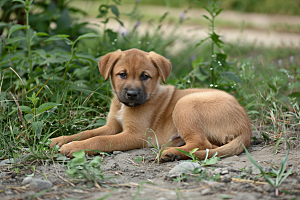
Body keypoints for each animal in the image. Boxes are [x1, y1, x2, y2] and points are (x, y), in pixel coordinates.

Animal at [50, 48, 252, 162]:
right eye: (122, 74)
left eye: (145, 76)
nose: (132, 94)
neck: (124, 107)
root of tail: (246, 127)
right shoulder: (111, 126)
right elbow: (87, 133)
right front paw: (60, 139)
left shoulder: (136, 135)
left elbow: (100, 140)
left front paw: (73, 147)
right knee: (209, 146)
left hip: (185, 104)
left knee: (201, 143)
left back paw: (171, 152)